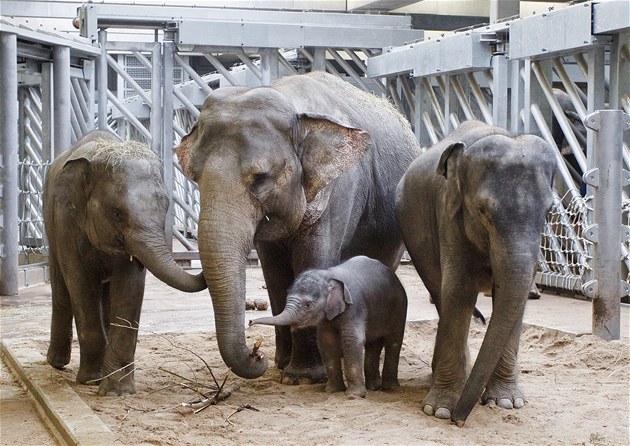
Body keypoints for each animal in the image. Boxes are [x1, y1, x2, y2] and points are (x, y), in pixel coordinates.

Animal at [45, 131, 207, 396]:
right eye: (117, 213)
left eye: (165, 208)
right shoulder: (65, 220)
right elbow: (80, 284)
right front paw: (92, 380)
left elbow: (129, 288)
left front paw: (116, 392)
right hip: (50, 223)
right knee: (61, 288)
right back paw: (56, 363)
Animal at [178, 71, 422, 382]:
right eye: (195, 176)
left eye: (261, 178)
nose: (256, 352)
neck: (291, 101)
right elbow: (273, 272)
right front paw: (282, 366)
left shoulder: (341, 188)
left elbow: (311, 261)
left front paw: (304, 377)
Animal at [249, 256, 408, 398]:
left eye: (308, 305)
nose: (250, 321)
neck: (329, 275)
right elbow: (327, 342)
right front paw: (332, 391)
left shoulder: (354, 307)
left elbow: (352, 340)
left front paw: (353, 396)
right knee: (374, 344)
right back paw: (374, 387)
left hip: (400, 307)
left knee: (394, 341)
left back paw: (391, 388)